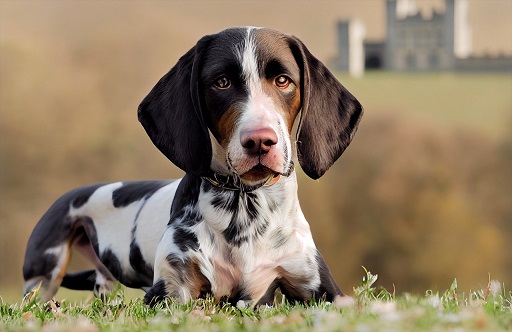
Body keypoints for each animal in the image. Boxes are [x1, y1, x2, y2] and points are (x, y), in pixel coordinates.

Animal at [22, 27, 362, 308]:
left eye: (283, 80)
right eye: (221, 82)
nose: (260, 141)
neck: (244, 207)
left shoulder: (321, 287)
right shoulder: (171, 289)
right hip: (45, 268)